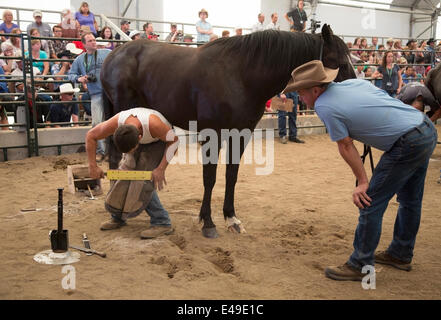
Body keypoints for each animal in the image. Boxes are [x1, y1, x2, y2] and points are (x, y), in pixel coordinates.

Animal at [99, 24, 354, 238]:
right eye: (337, 60)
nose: (354, 90)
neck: (240, 75)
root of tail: (113, 55)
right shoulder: (212, 135)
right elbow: (209, 177)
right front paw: (208, 222)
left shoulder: (241, 134)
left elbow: (231, 175)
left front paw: (231, 218)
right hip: (125, 117)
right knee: (117, 156)